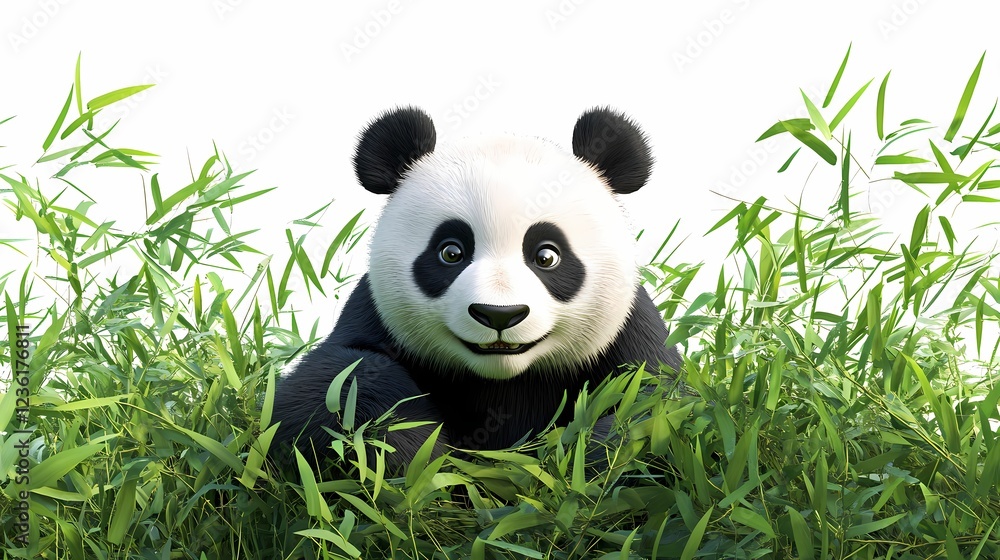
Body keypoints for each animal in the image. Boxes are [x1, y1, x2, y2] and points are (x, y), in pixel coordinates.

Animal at [272, 106, 682, 471]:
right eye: (451, 252)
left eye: (547, 256)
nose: (499, 314)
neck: (504, 378)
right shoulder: (375, 316)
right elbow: (337, 387)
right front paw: (405, 454)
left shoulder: (627, 329)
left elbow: (655, 400)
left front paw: (581, 459)